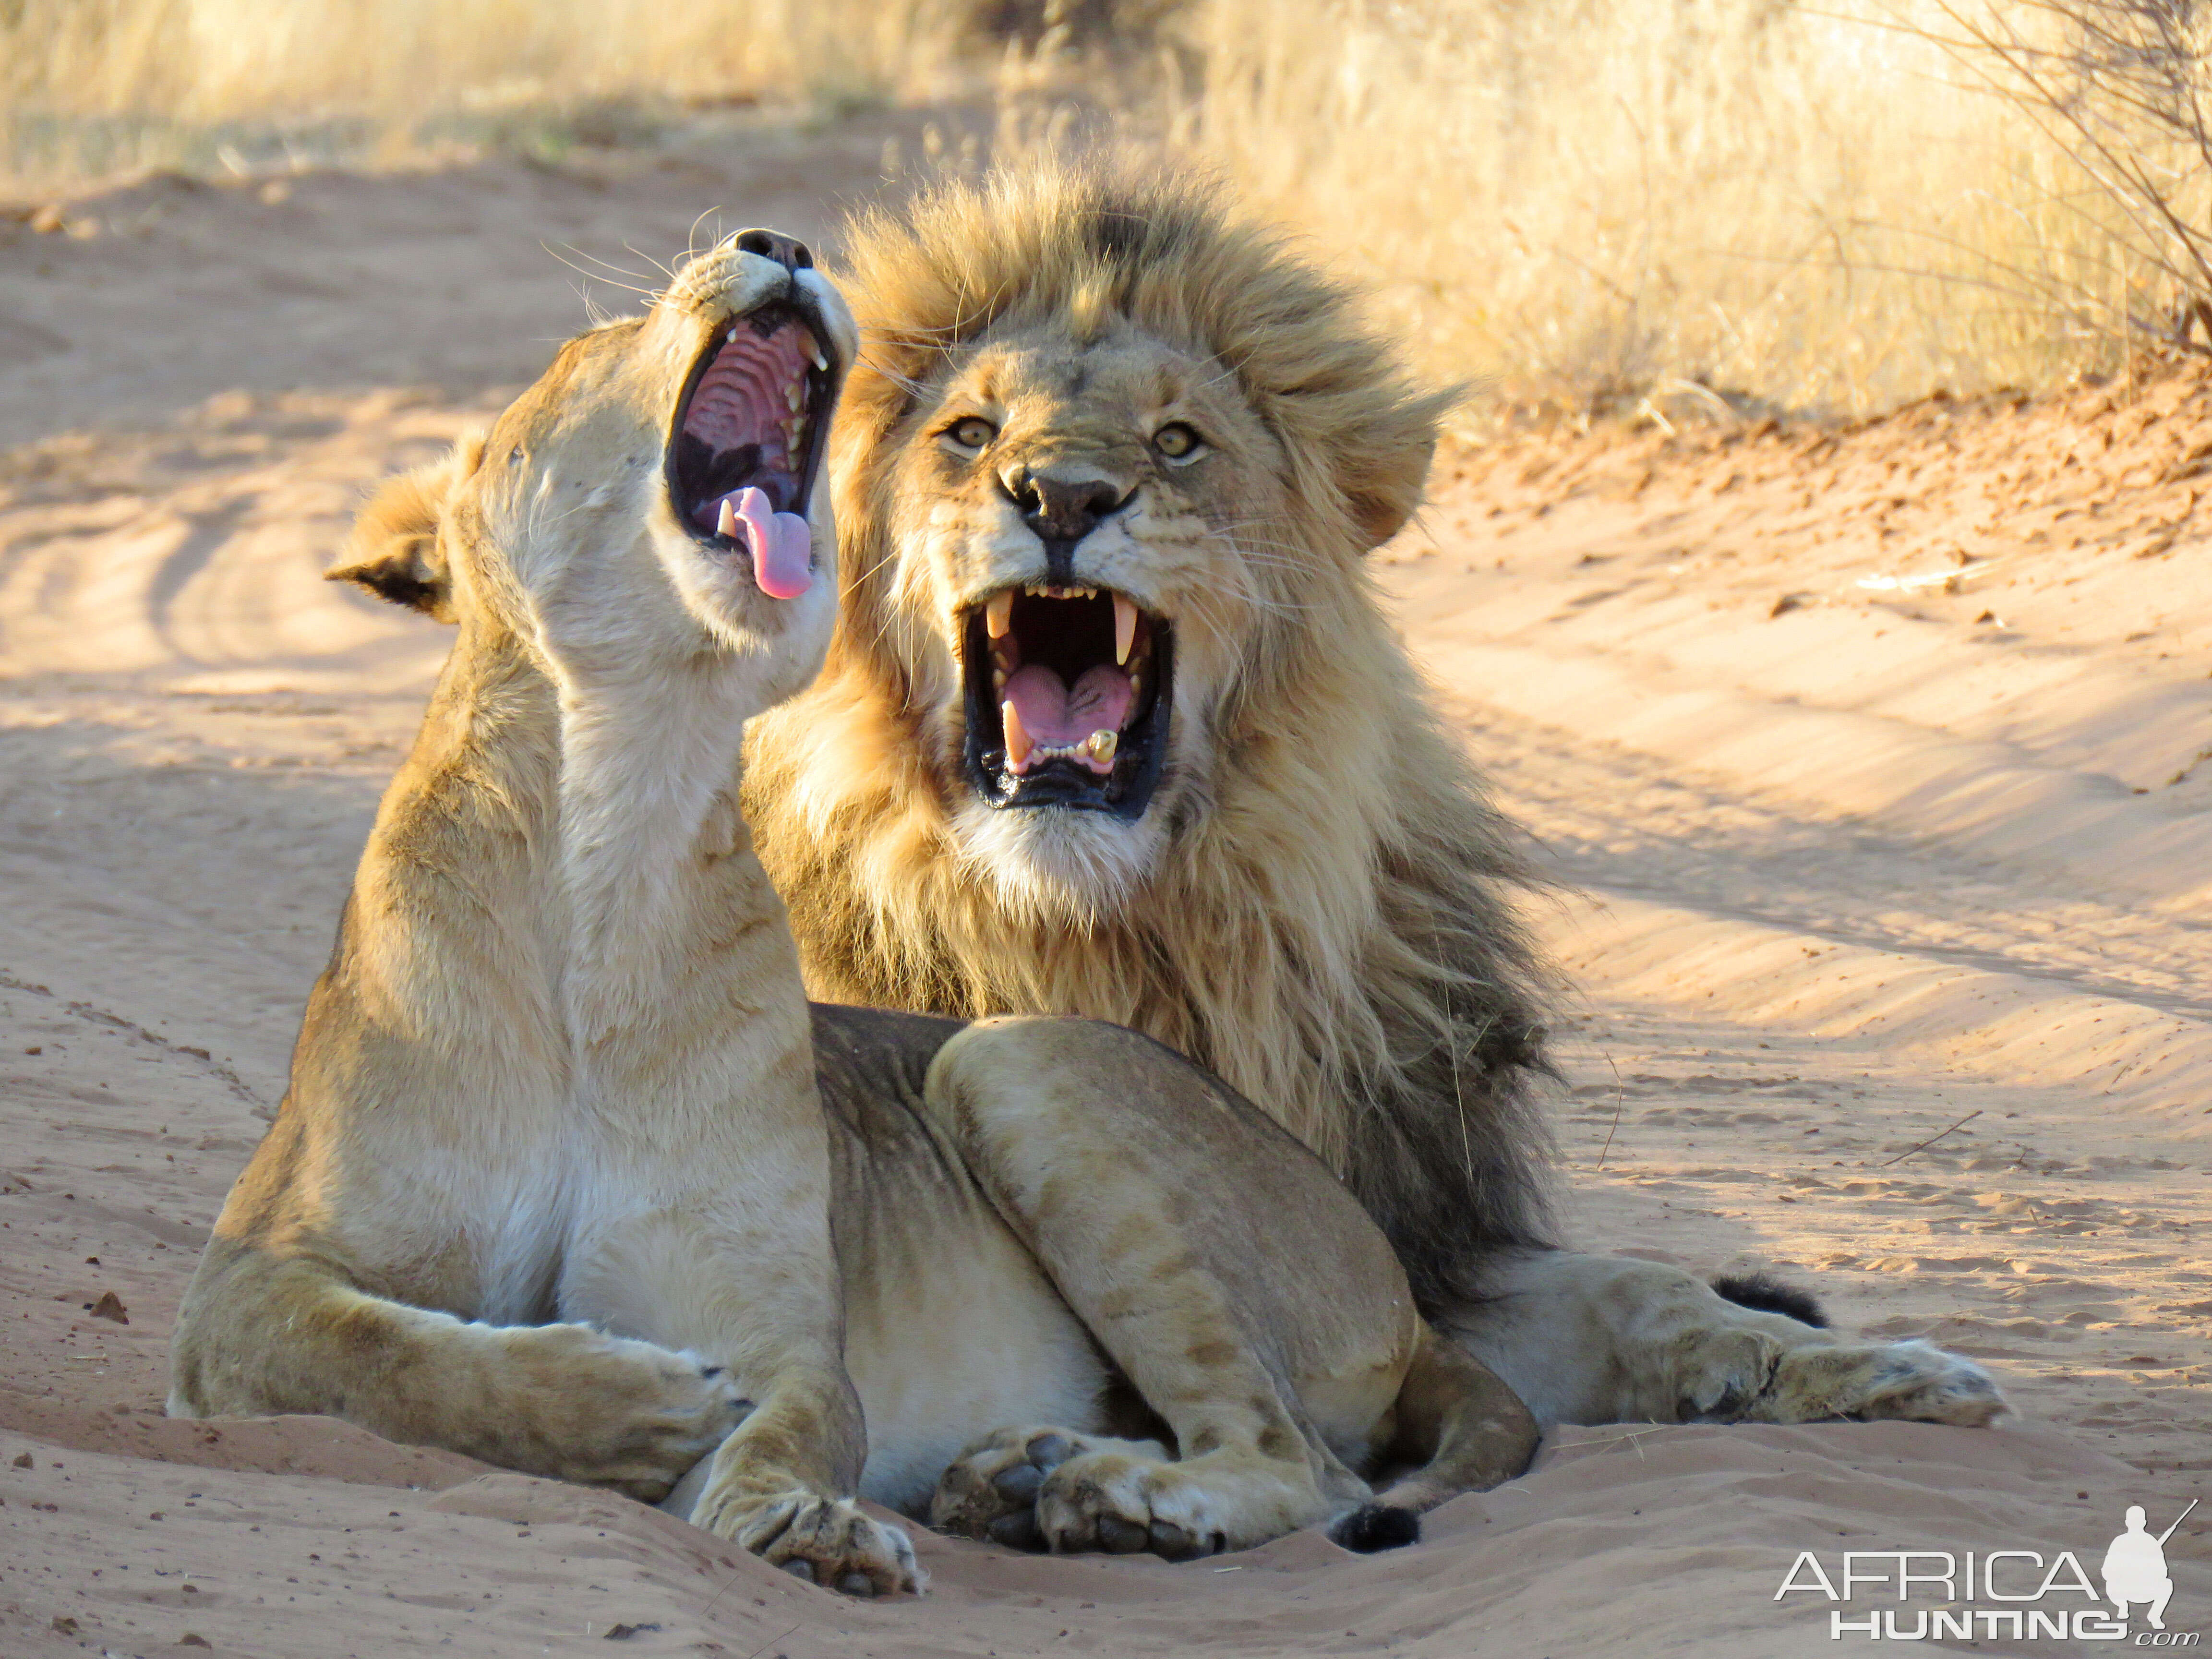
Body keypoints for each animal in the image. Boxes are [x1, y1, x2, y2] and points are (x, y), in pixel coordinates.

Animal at [168, 228, 1539, 1592]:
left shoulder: (777, 1330)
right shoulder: (246, 1277)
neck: (615, 821)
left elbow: (791, 1425)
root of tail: (1401, 1280)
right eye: (588, 343)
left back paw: (1114, 1499)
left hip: (1012, 1060)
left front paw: (802, 1526)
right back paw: (1021, 1475)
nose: (775, 242)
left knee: (1305, 1465)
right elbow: (397, 1357)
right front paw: (635, 1398)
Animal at [743, 172, 2008, 1442]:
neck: (1091, 933)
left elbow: (1639, 1286)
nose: (1062, 496)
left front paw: (1884, 1365)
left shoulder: (1409, 1245)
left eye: (1177, 440)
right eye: (970, 432)